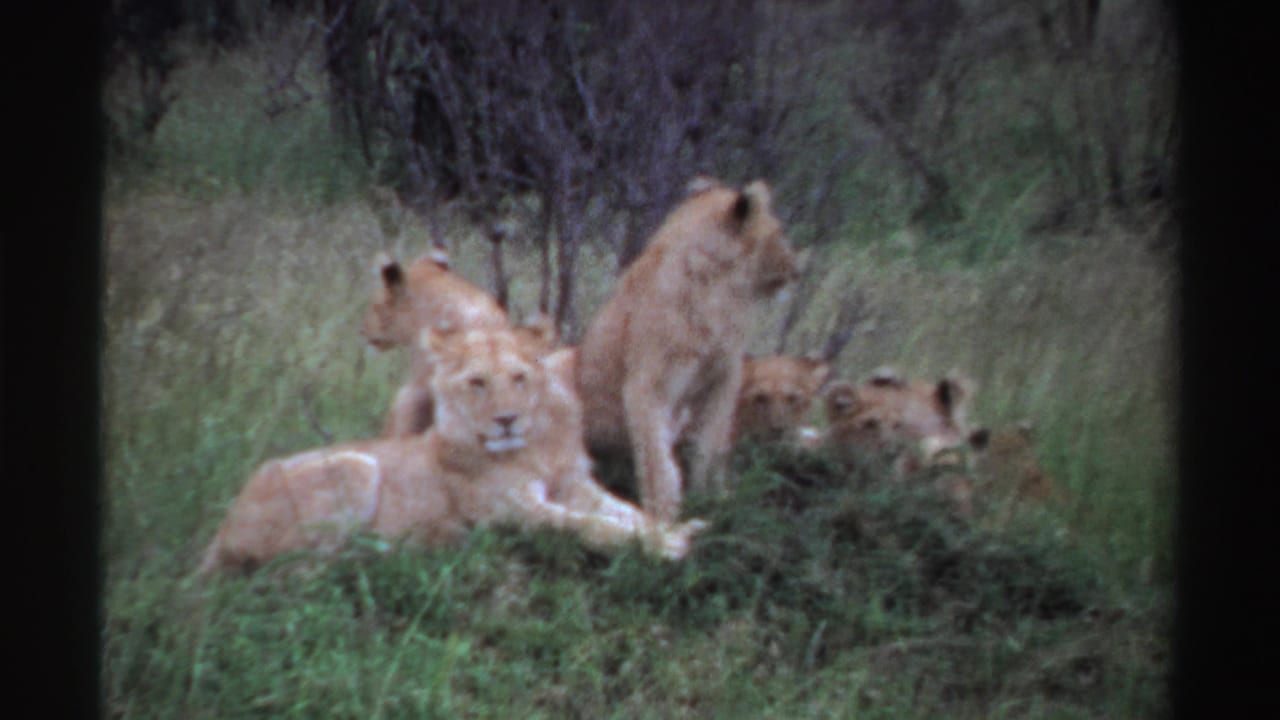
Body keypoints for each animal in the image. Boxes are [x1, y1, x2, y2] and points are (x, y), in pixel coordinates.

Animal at [198, 325, 705, 576]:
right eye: (477, 383)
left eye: (520, 377)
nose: (506, 419)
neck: (534, 447)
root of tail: (220, 531)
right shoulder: (512, 512)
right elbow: (588, 525)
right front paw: (665, 546)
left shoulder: (574, 485)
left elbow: (626, 511)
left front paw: (674, 528)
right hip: (355, 466)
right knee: (298, 570)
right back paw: (401, 549)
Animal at [575, 177, 799, 522]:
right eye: (778, 232)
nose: (796, 267)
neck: (719, 292)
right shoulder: (648, 384)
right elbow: (657, 457)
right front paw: (664, 514)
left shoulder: (724, 377)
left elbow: (711, 444)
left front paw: (713, 498)